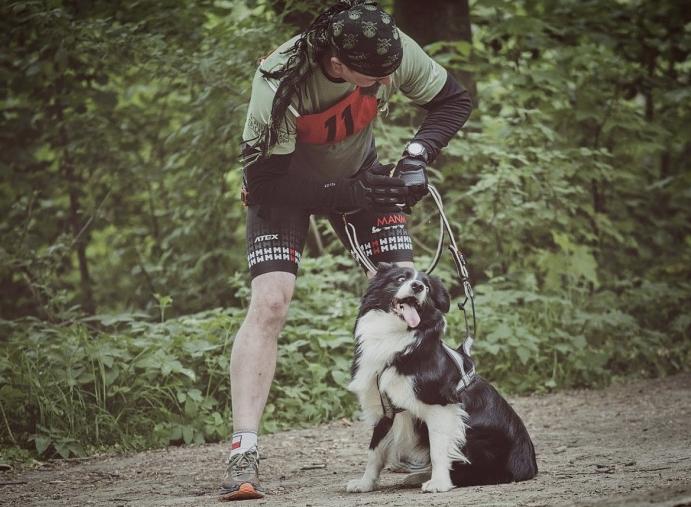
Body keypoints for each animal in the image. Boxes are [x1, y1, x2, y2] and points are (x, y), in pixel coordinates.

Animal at [346, 263, 537, 493]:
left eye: (427, 287)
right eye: (400, 278)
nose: (417, 286)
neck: (396, 339)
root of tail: (530, 466)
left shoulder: (440, 406)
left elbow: (438, 450)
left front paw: (439, 483)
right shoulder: (384, 409)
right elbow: (374, 451)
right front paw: (365, 483)